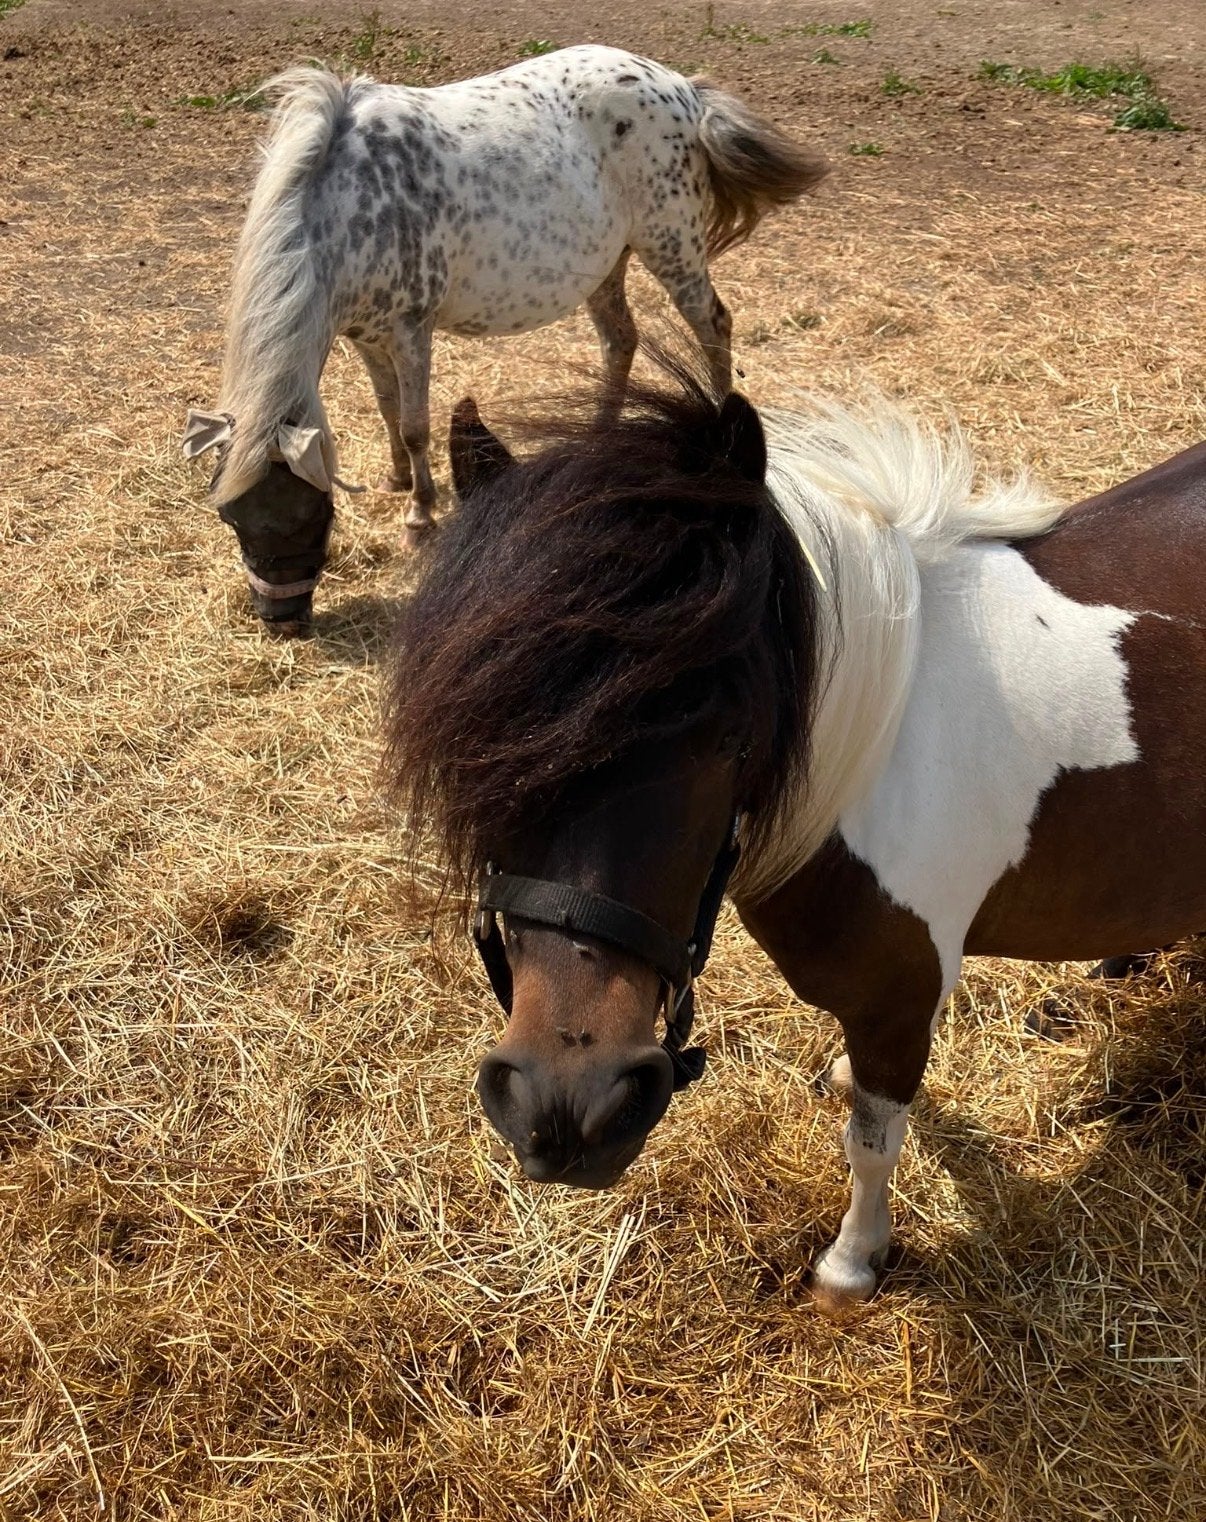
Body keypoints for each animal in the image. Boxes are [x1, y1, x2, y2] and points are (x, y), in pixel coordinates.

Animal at [181, 47, 826, 634]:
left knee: (712, 326)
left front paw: (419, 517)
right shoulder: (363, 335)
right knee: (621, 340)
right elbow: (388, 408)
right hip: (605, 264)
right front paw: (395, 479)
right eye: (233, 520)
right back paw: (597, 436)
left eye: (302, 517)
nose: (281, 620)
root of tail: (684, 88)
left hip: (673, 249)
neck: (350, 200)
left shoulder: (411, 329)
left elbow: (416, 426)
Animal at [383, 365, 1206, 1308]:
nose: (566, 1108)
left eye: (727, 731)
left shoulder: (902, 993)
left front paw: (852, 1263)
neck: (877, 742)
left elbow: (872, 1144)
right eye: (481, 737)